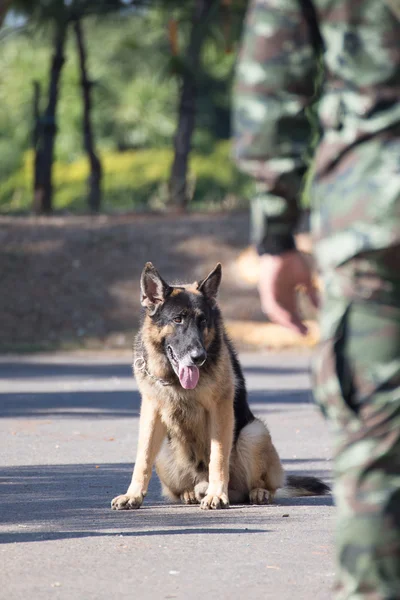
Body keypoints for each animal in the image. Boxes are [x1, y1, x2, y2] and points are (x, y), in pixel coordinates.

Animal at [111, 262, 330, 510]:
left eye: (203, 321)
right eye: (178, 320)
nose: (199, 357)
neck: (175, 380)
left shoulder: (220, 409)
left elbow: (218, 457)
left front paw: (216, 494)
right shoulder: (151, 411)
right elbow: (143, 457)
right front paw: (133, 495)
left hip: (254, 433)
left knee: (254, 487)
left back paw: (254, 492)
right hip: (165, 451)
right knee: (181, 486)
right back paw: (191, 492)